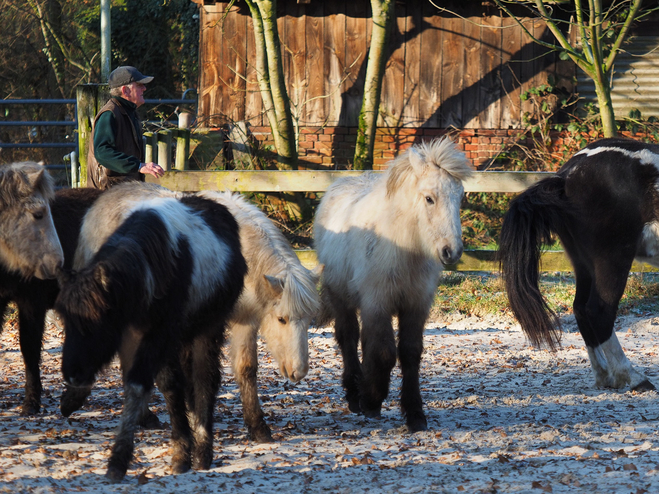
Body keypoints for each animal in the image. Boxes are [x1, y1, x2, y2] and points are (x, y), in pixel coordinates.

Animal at [54, 181, 248, 478]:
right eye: (66, 321)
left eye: (98, 323)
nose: (73, 374)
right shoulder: (139, 338)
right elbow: (164, 385)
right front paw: (180, 449)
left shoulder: (160, 334)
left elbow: (141, 384)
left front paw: (120, 460)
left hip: (208, 330)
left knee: (204, 380)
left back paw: (204, 451)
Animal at [199, 191, 322, 442]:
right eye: (281, 319)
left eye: (309, 320)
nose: (299, 372)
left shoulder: (246, 322)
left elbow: (247, 368)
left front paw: (258, 427)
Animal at [314, 136, 474, 432]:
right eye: (429, 198)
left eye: (460, 198)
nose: (452, 252)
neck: (404, 248)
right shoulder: (378, 302)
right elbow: (385, 352)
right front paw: (372, 400)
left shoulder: (415, 305)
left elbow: (410, 352)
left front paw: (415, 414)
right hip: (342, 298)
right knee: (349, 337)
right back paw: (354, 394)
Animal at [500, 138, 659, 390]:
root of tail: (566, 175)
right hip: (612, 259)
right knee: (599, 311)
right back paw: (631, 377)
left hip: (584, 264)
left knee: (580, 309)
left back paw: (604, 375)